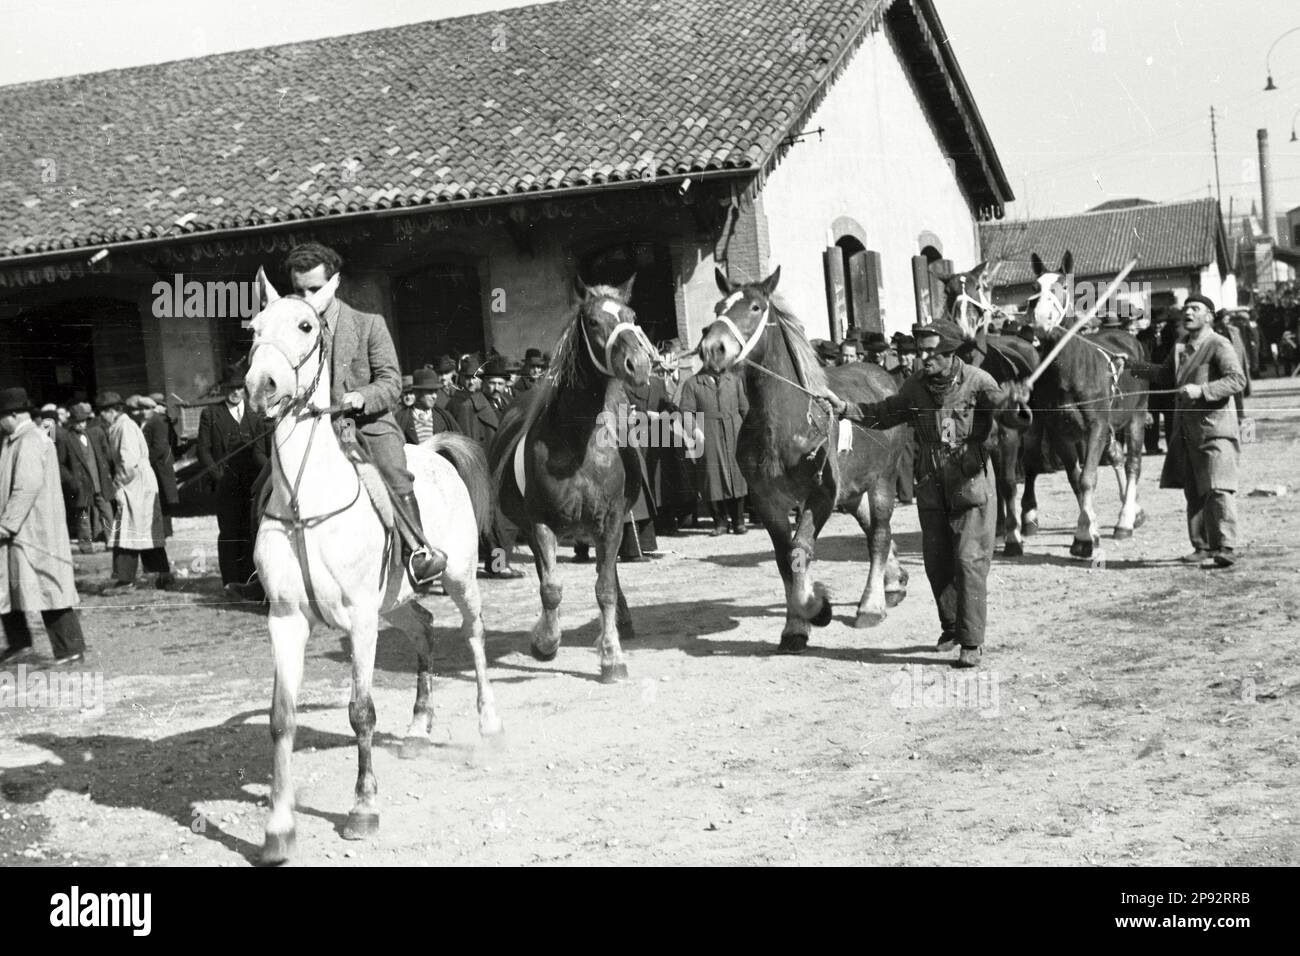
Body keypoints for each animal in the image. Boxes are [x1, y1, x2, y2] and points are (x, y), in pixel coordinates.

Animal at [244, 269, 501, 868]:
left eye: (306, 325)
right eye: (254, 327)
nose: (260, 387)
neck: (306, 504)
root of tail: (430, 449)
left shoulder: (360, 619)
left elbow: (360, 711)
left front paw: (362, 809)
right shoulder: (286, 620)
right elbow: (281, 718)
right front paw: (278, 829)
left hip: (458, 579)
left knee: (473, 635)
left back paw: (487, 723)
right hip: (396, 604)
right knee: (423, 628)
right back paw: (419, 727)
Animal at [491, 280, 665, 686]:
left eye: (631, 316)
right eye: (594, 321)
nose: (639, 365)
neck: (578, 444)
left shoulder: (613, 520)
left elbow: (605, 589)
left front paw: (612, 658)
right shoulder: (541, 523)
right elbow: (551, 588)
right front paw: (545, 642)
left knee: (608, 573)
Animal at [696, 270, 909, 658]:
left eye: (756, 307)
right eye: (719, 307)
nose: (713, 348)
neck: (788, 424)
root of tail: (884, 377)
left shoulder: (821, 495)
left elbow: (800, 549)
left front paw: (817, 608)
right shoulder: (767, 500)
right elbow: (784, 557)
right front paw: (796, 626)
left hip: (883, 480)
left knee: (879, 534)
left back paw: (871, 605)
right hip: (853, 492)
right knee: (870, 527)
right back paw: (894, 580)